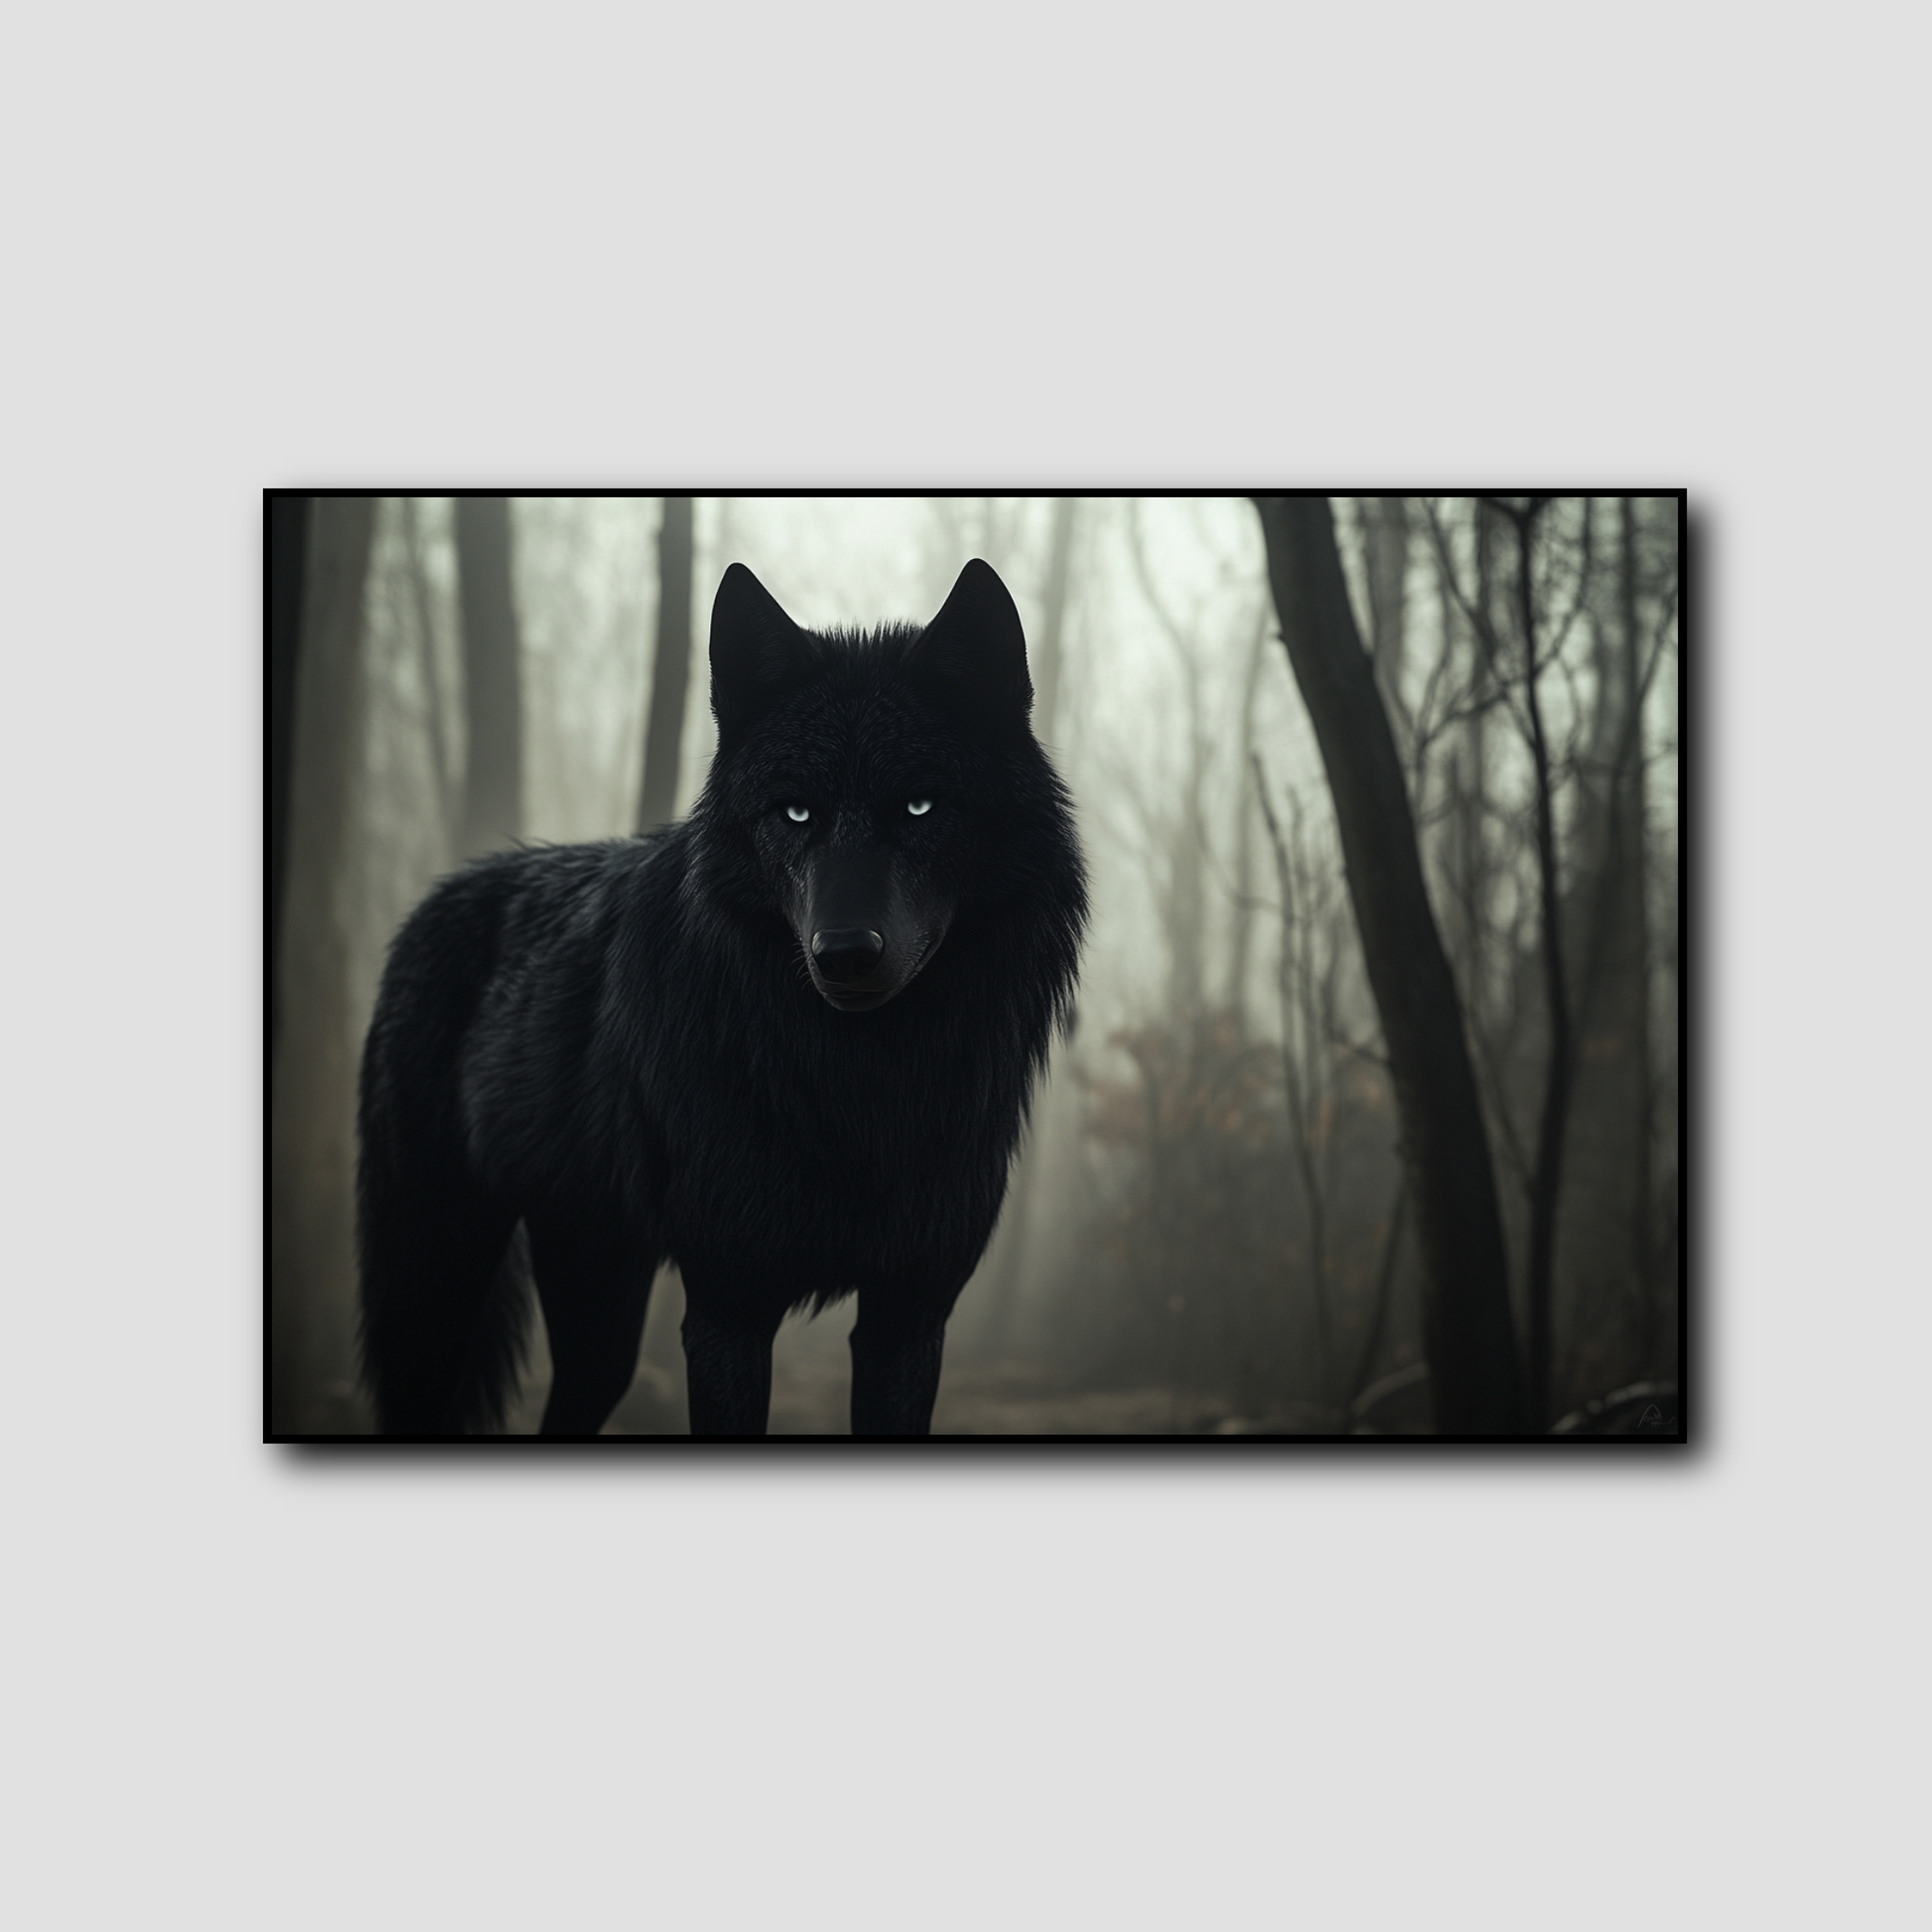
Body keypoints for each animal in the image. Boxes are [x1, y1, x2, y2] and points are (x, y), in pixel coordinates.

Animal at [355, 557, 1087, 1436]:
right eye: (794, 811)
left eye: (920, 804)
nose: (843, 956)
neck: (864, 1088)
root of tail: (444, 891)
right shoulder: (729, 1307)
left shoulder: (909, 1315)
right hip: (435, 1294)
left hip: (599, 1308)